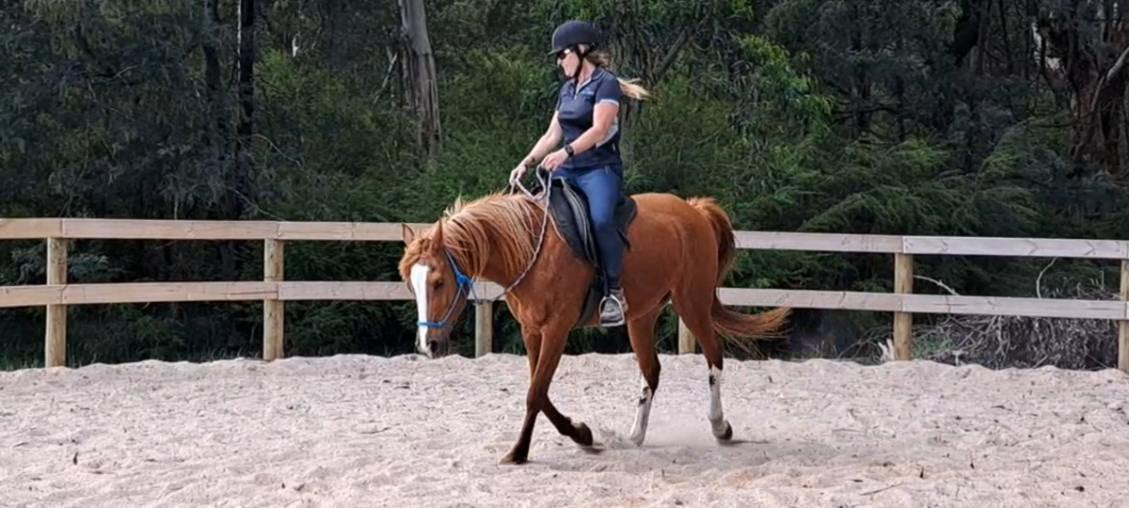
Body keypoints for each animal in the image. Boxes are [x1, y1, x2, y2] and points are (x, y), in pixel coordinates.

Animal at [398, 181, 790, 465]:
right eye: (411, 283)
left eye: (438, 282)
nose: (427, 345)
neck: (529, 250)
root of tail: (693, 209)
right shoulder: (532, 331)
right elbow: (539, 392)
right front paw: (582, 435)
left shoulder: (556, 329)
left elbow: (535, 393)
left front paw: (519, 453)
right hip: (642, 316)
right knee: (652, 370)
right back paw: (635, 435)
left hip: (691, 303)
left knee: (714, 356)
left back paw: (720, 426)